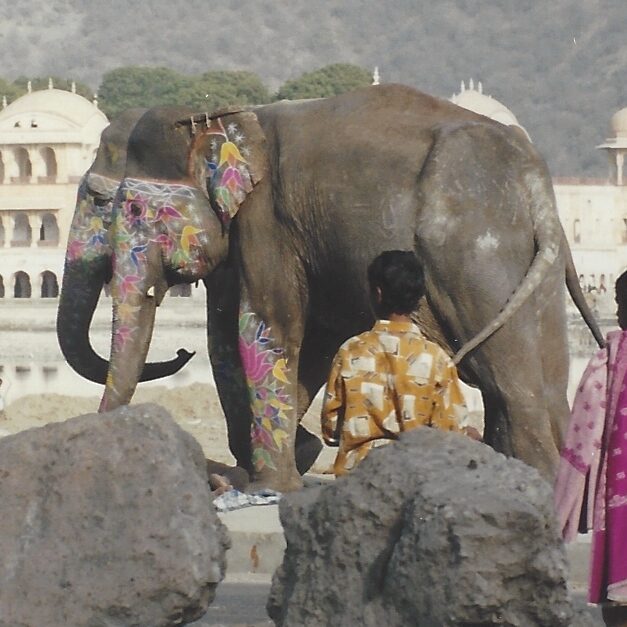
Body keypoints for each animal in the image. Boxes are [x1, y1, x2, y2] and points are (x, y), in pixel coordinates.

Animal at [86, 83, 600, 494]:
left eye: (129, 209)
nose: (179, 353)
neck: (224, 117)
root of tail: (533, 178)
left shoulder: (266, 222)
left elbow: (265, 327)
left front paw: (272, 486)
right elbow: (265, 339)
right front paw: (288, 459)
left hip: (473, 250)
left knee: (510, 384)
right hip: (531, 260)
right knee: (545, 376)